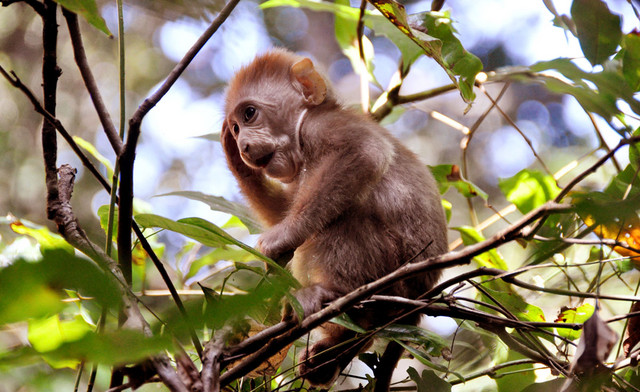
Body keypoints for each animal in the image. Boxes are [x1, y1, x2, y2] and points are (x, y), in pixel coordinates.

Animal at [222, 49, 448, 388]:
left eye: (249, 114)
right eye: (235, 128)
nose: (244, 147)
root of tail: (420, 301)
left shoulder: (322, 127)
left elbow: (365, 153)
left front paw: (280, 239)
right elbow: (284, 210)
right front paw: (236, 163)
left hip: (395, 276)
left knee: (344, 218)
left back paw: (333, 296)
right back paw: (336, 350)